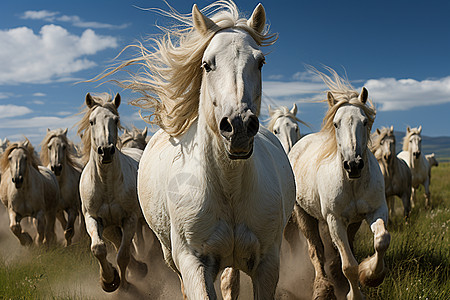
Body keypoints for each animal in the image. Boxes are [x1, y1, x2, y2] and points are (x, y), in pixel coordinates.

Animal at [77, 92, 148, 292]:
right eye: (92, 121)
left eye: (115, 120)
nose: (106, 151)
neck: (107, 184)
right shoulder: (93, 218)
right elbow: (99, 248)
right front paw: (108, 280)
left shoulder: (130, 219)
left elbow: (123, 255)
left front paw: (124, 285)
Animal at [103, 1, 298, 298]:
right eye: (207, 64)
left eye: (260, 62)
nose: (239, 126)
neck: (228, 188)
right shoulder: (193, 262)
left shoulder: (267, 264)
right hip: (171, 255)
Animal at [288, 69, 390, 298]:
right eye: (336, 124)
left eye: (364, 121)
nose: (353, 165)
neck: (353, 184)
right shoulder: (335, 220)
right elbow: (349, 266)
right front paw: (354, 295)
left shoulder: (376, 211)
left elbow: (381, 240)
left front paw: (371, 275)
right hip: (304, 215)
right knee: (316, 251)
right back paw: (322, 288)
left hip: (353, 222)